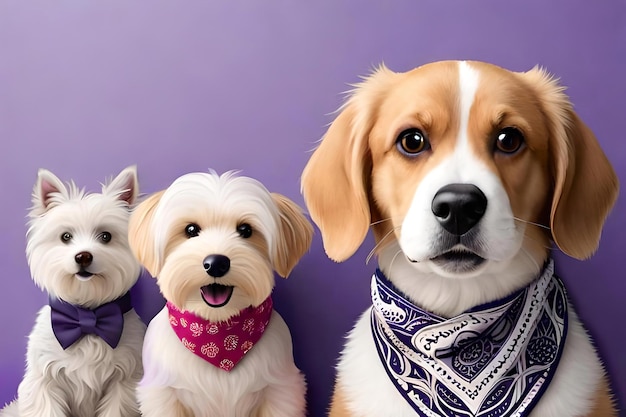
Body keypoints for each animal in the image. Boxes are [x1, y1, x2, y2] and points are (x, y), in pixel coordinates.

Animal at [1, 166, 145, 416]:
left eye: (106, 236)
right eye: (65, 236)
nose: (83, 256)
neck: (87, 315)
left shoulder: (124, 380)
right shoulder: (44, 380)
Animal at [127, 170, 312, 416]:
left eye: (245, 230)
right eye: (191, 230)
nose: (216, 263)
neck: (218, 335)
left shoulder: (281, 392)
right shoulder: (163, 395)